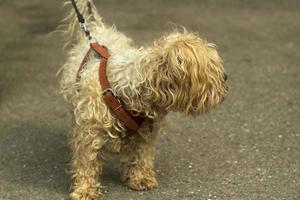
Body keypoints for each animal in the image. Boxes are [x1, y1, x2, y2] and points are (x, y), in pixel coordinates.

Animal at [58, 0, 227, 199]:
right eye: (211, 69)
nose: (226, 77)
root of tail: (96, 27)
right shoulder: (89, 131)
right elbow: (87, 161)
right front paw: (85, 190)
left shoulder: (145, 131)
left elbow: (141, 155)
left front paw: (140, 178)